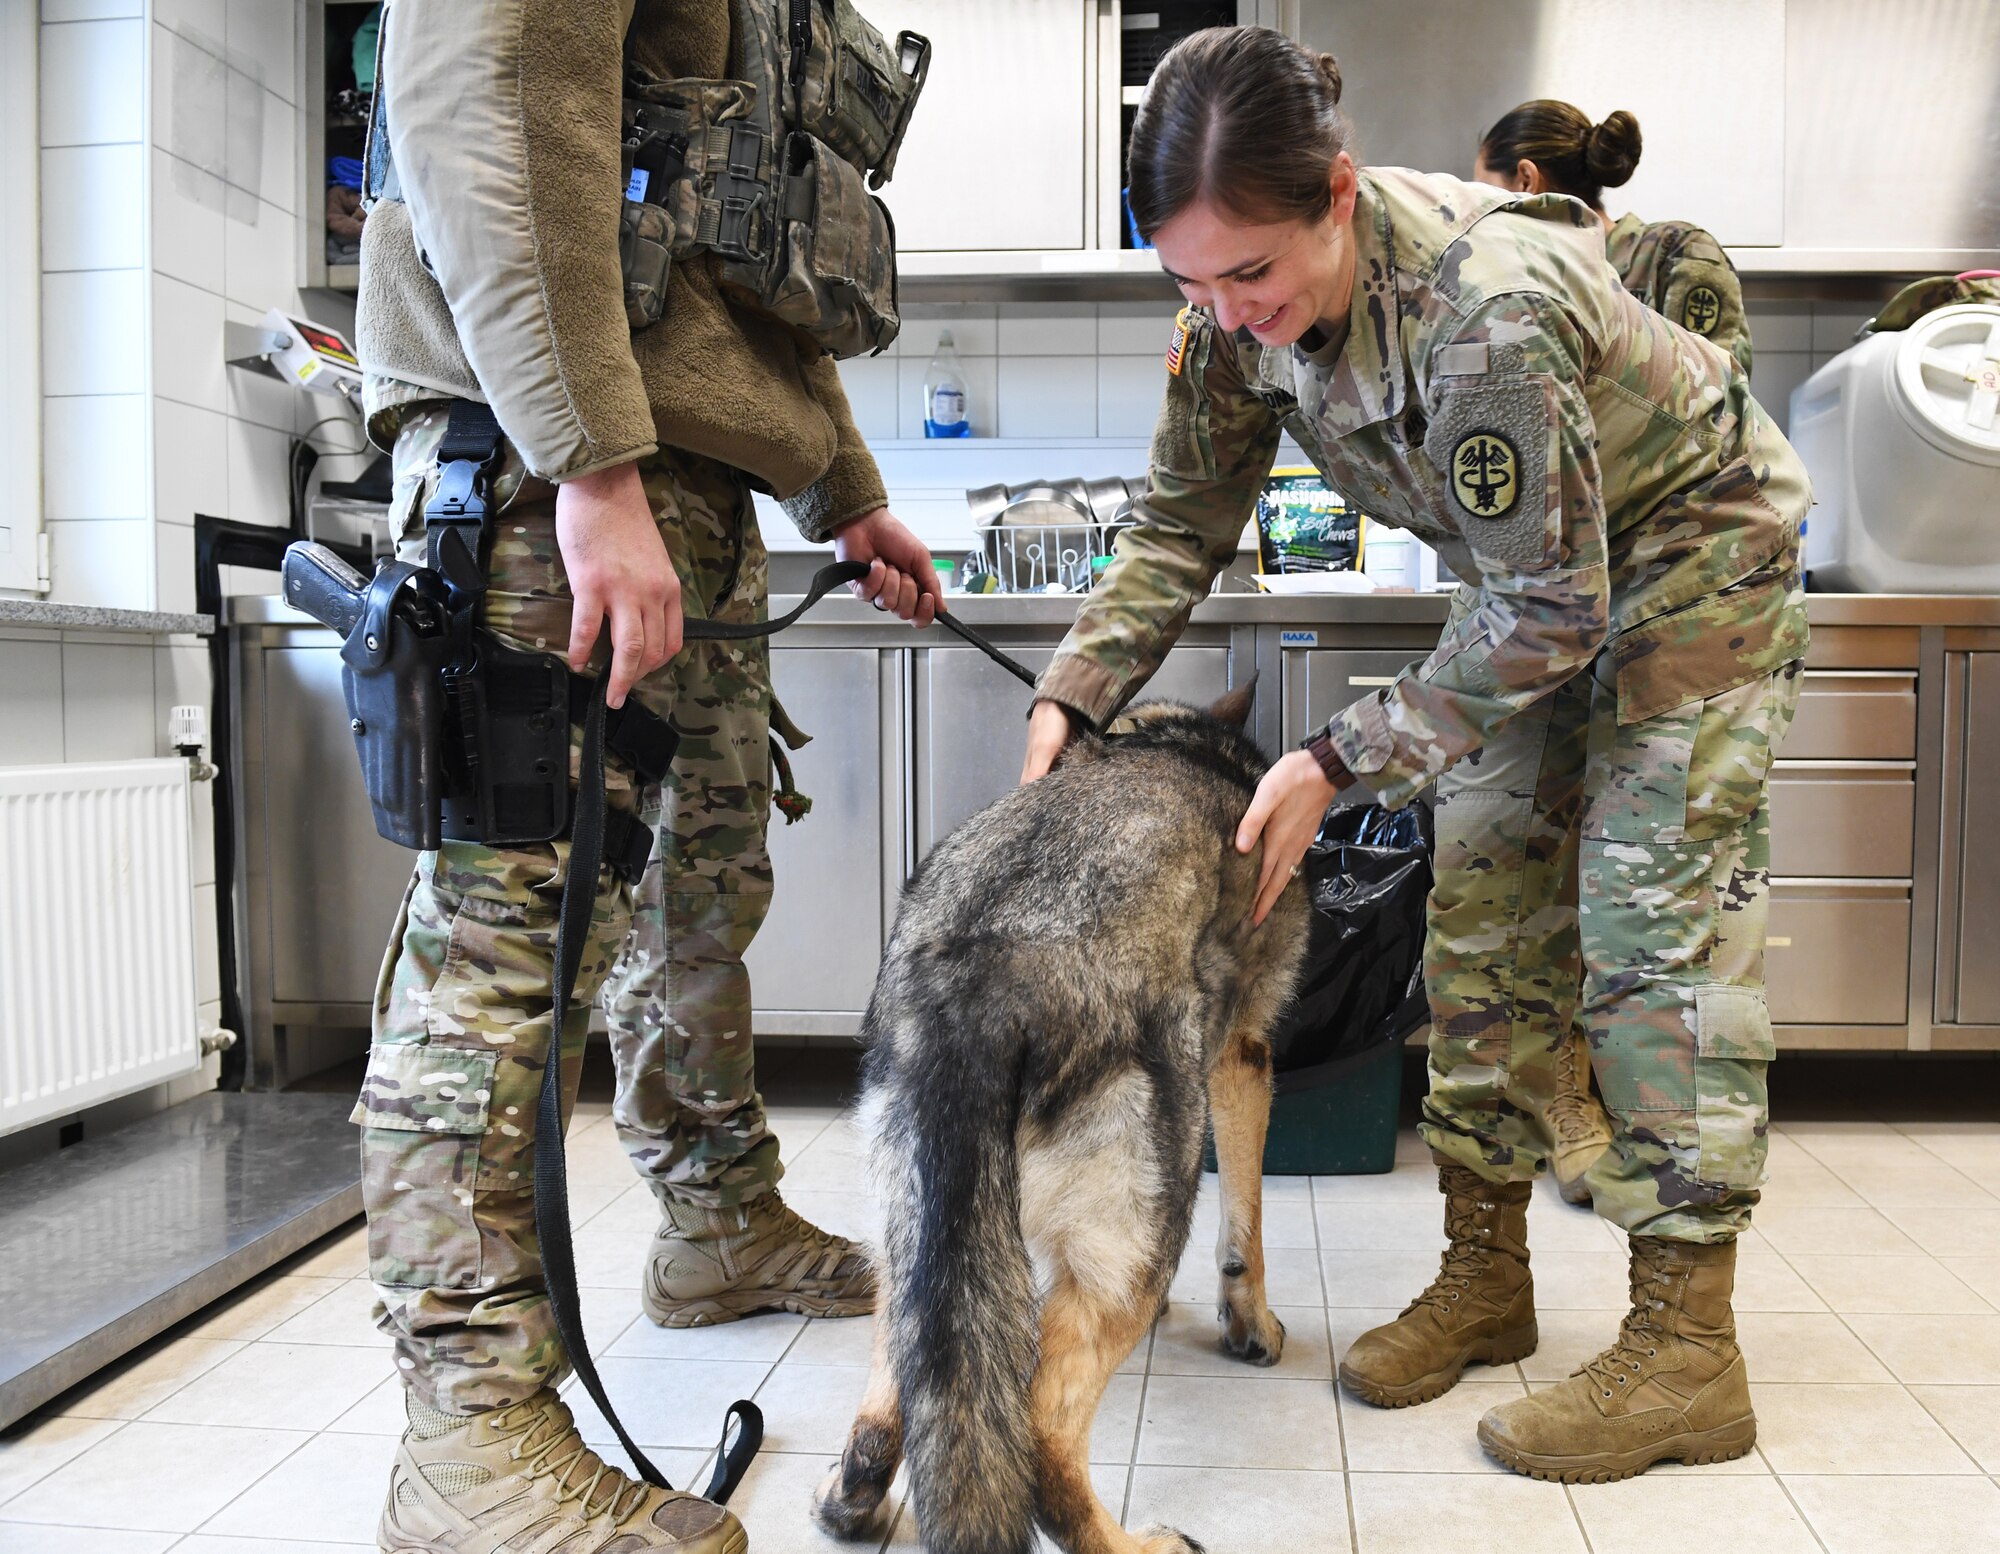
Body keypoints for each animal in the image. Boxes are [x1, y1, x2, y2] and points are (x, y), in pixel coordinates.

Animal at [812, 692, 1312, 1552]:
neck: (1167, 739)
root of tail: (981, 982)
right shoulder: (1244, 1057)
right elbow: (1244, 1229)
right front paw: (1251, 1325)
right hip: (1155, 1212)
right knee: (1044, 1437)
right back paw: (1137, 1544)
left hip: (914, 1245)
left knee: (890, 1411)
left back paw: (848, 1495)